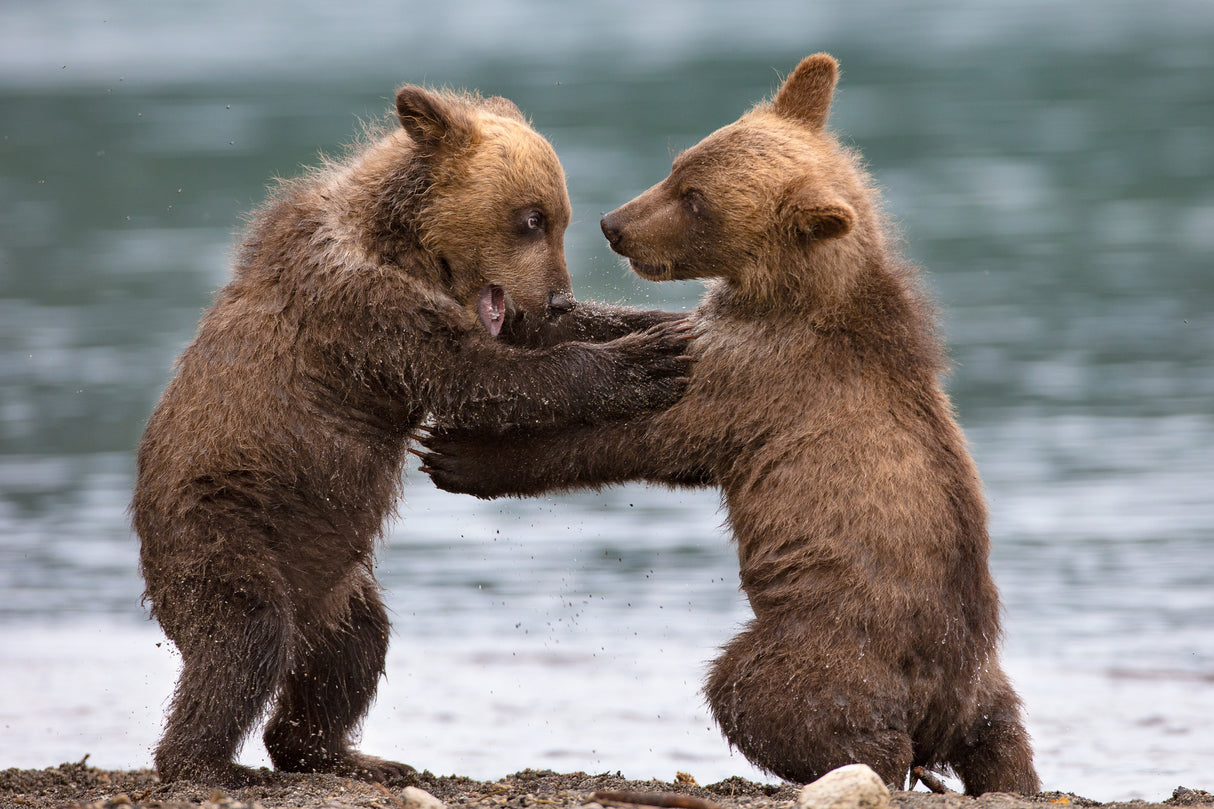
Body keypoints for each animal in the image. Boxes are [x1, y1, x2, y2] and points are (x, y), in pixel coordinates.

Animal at [131, 84, 693, 787]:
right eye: (532, 218)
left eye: (560, 218)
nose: (558, 297)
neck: (408, 248)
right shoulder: (368, 314)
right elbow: (485, 376)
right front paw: (644, 361)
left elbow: (535, 339)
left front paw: (666, 323)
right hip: (222, 526)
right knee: (244, 638)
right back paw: (208, 763)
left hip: (336, 581)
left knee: (352, 653)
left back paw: (346, 754)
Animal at [417, 54, 1041, 795]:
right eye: (680, 165)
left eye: (696, 200)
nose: (614, 224)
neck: (796, 294)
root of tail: (946, 694)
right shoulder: (726, 337)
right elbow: (649, 339)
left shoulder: (757, 379)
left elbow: (641, 437)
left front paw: (461, 455)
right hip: (989, 682)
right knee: (1006, 739)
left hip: (832, 640)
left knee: (761, 691)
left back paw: (871, 763)